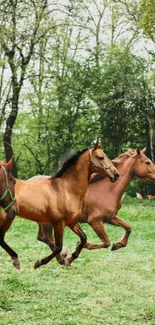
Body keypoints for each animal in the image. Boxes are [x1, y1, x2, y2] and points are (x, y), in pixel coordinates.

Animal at [24, 147, 155, 258]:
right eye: (147, 162)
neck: (107, 190)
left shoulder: (110, 218)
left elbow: (128, 228)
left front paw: (117, 245)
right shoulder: (95, 221)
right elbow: (106, 242)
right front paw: (81, 245)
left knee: (43, 237)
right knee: (45, 237)